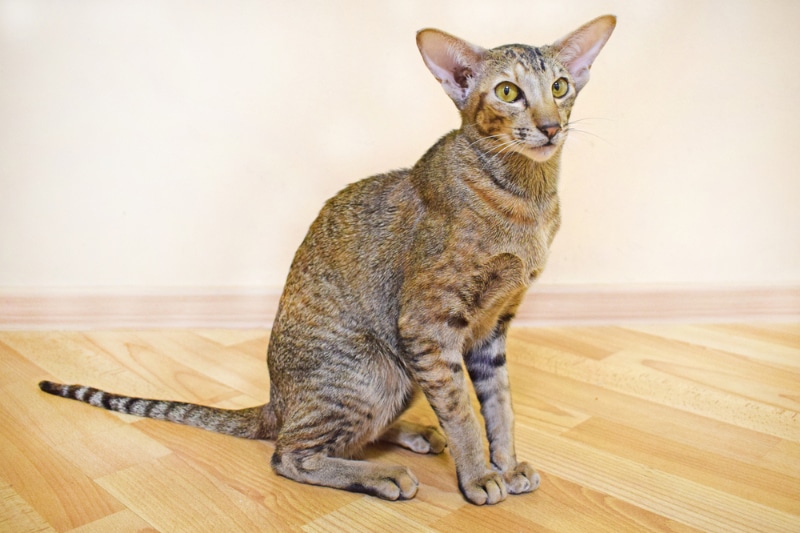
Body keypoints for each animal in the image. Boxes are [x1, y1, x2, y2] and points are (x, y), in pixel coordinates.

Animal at [40, 14, 620, 504]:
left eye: (560, 87)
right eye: (507, 93)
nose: (550, 127)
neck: (526, 197)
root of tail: (276, 401)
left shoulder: (493, 326)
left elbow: (499, 405)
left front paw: (508, 463)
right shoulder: (429, 323)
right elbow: (462, 410)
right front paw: (479, 476)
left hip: (401, 375)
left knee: (344, 437)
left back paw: (411, 435)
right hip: (376, 370)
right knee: (290, 454)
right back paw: (384, 474)